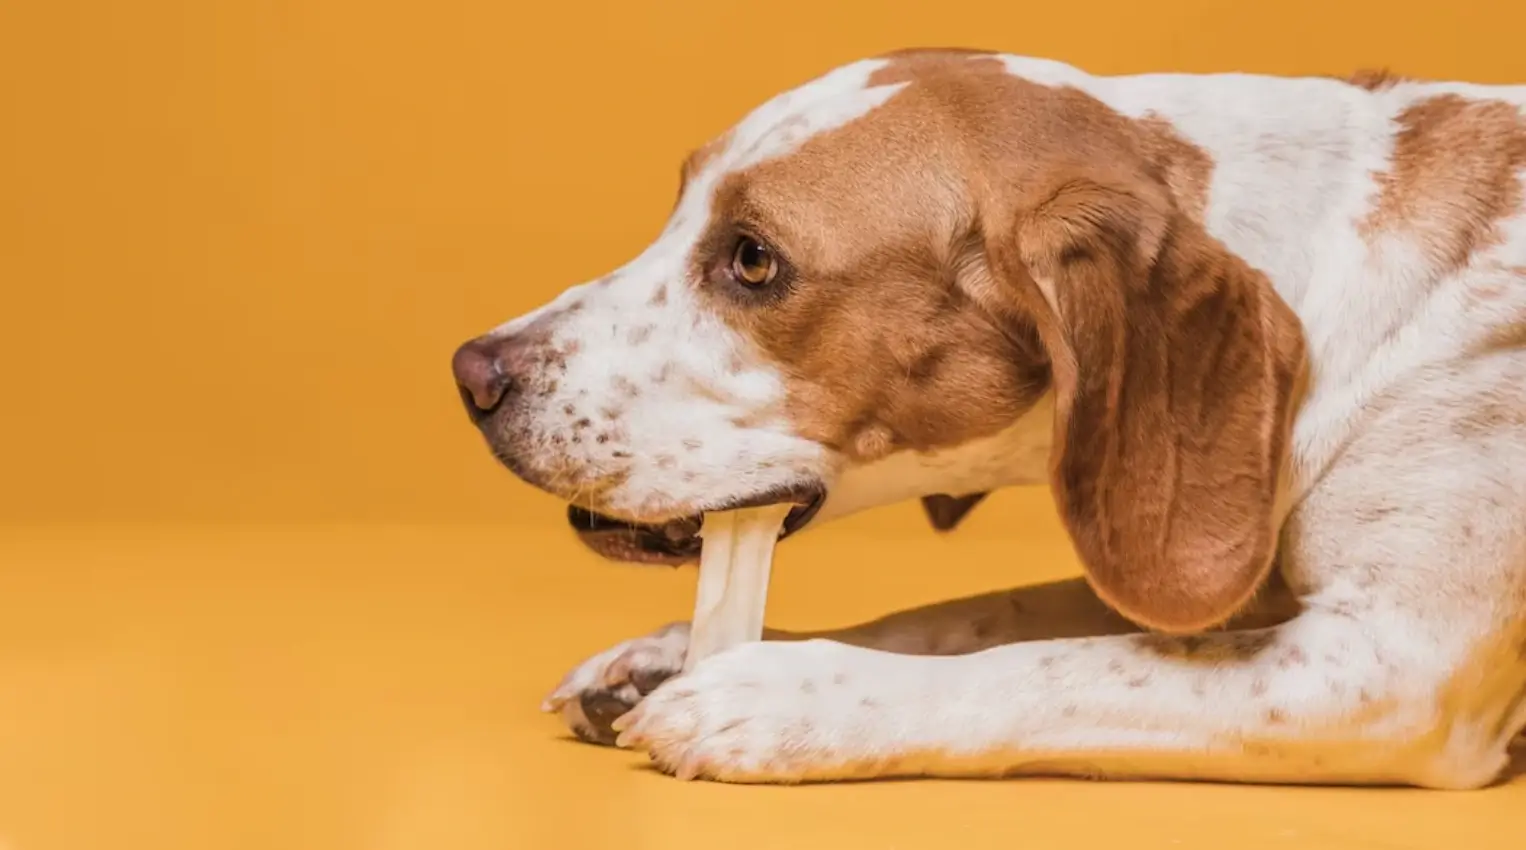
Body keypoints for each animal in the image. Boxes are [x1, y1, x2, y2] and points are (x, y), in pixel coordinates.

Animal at [448, 49, 1526, 787]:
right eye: (678, 208)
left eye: (752, 259)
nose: (471, 375)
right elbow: (969, 614)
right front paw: (674, 655)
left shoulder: (1391, 664)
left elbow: (1057, 668)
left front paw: (775, 692)